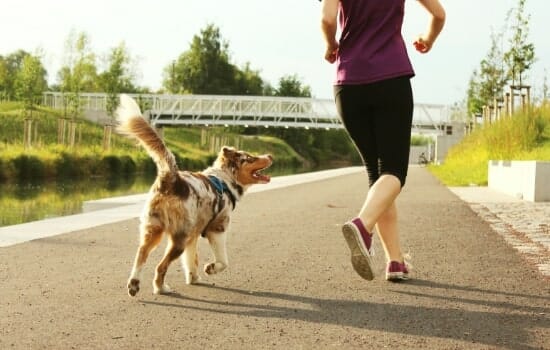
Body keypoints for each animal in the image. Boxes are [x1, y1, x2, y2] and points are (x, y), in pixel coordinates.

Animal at [116, 94, 274, 296]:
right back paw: (160, 288)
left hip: (153, 229)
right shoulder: (218, 228)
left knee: (141, 254)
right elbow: (223, 261)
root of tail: (171, 178)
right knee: (160, 266)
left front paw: (194, 278)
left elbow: (191, 260)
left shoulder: (194, 234)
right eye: (250, 158)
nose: (270, 155)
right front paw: (211, 268)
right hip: (178, 237)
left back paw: (134, 285)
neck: (225, 180)